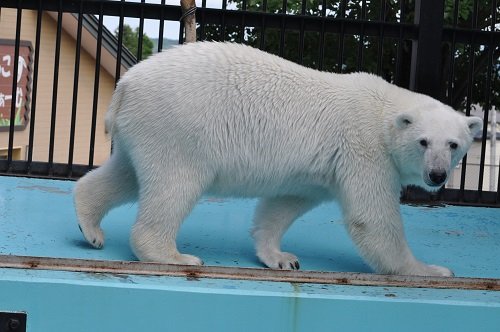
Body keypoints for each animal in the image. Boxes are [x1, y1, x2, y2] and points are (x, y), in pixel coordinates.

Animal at [73, 42, 480, 276]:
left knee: (126, 174)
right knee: (174, 185)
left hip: (146, 129)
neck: (384, 109)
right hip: (178, 126)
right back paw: (174, 256)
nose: (436, 175)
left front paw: (281, 257)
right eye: (424, 142)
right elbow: (372, 218)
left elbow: (283, 205)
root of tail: (126, 83)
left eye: (454, 144)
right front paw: (430, 271)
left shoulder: (320, 171)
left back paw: (90, 226)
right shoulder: (364, 149)